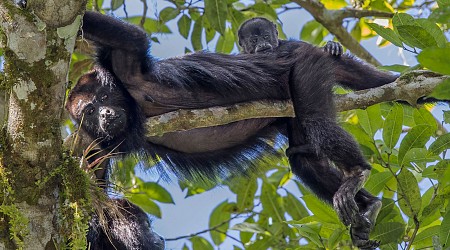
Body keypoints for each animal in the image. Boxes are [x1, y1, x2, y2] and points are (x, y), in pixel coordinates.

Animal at [67, 11, 398, 248]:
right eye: (89, 112)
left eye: (104, 98)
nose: (105, 114)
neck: (129, 100)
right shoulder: (93, 145)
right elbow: (95, 203)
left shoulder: (127, 70)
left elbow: (132, 38)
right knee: (302, 156)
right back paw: (368, 205)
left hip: (306, 65)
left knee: (317, 122)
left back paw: (357, 173)